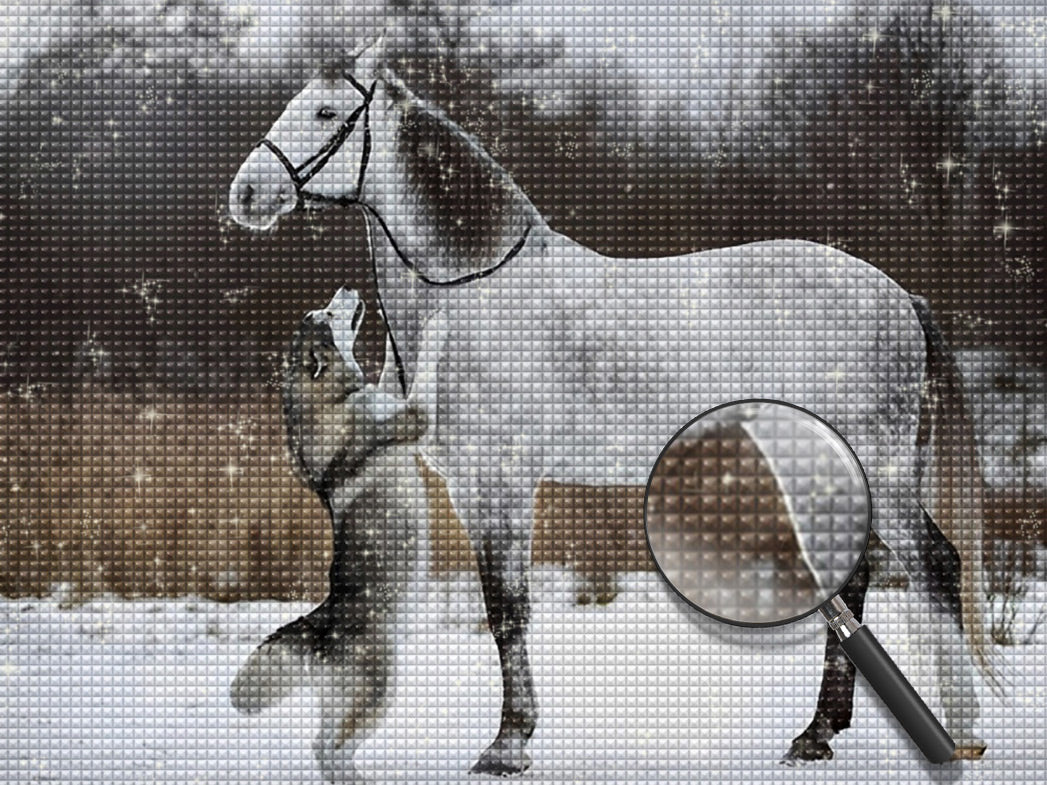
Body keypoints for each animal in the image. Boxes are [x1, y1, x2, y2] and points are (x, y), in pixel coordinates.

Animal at [228, 42, 993, 775]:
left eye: (327, 111)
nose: (246, 192)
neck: (471, 288)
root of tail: (898, 295)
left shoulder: (504, 481)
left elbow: (508, 609)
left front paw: (507, 744)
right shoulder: (471, 489)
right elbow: (501, 606)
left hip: (874, 470)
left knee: (936, 562)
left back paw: (957, 728)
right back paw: (816, 734)